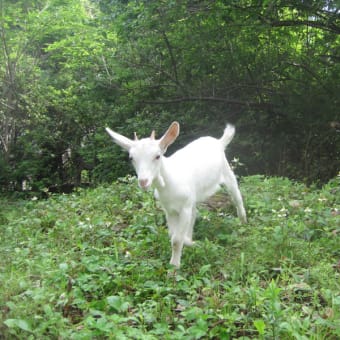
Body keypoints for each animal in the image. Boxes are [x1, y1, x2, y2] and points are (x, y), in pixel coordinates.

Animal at [106, 121, 247, 266]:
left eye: (157, 156)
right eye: (131, 158)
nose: (143, 181)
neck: (169, 183)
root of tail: (219, 141)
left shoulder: (184, 208)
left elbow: (176, 239)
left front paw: (174, 265)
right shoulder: (169, 210)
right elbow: (173, 235)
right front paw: (189, 244)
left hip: (227, 172)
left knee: (237, 197)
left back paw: (243, 222)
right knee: (194, 213)